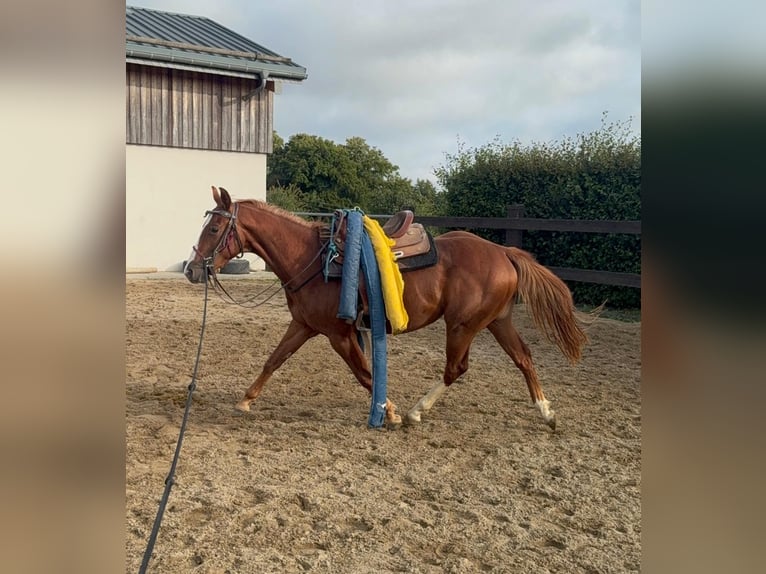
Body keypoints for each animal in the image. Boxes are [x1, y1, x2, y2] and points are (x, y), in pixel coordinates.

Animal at [184, 186, 588, 430]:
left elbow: (363, 372)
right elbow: (274, 360)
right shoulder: (304, 325)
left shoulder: (339, 335)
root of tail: (504, 252)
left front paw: (389, 411)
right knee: (523, 358)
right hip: (496, 322)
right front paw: (246, 400)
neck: (311, 258)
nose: (191, 269)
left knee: (456, 368)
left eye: (215, 227)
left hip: (463, 325)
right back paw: (546, 412)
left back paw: (415, 411)